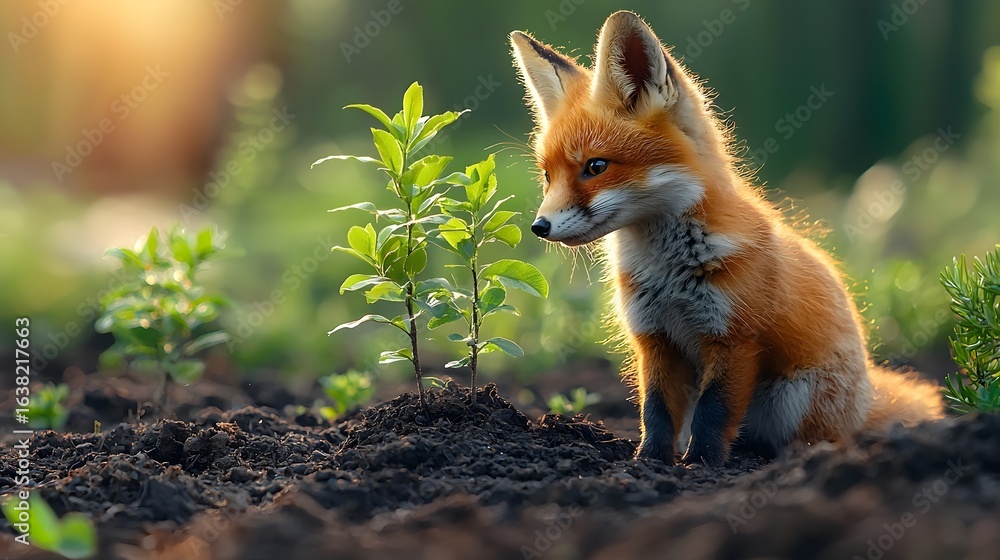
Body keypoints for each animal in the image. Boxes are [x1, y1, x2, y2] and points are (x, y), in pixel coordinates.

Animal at [510, 11, 944, 466]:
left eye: (596, 167)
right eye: (547, 176)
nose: (539, 227)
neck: (668, 273)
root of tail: (867, 395)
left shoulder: (735, 338)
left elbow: (713, 411)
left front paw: (701, 462)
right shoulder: (655, 338)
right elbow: (656, 410)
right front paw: (649, 460)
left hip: (792, 397)